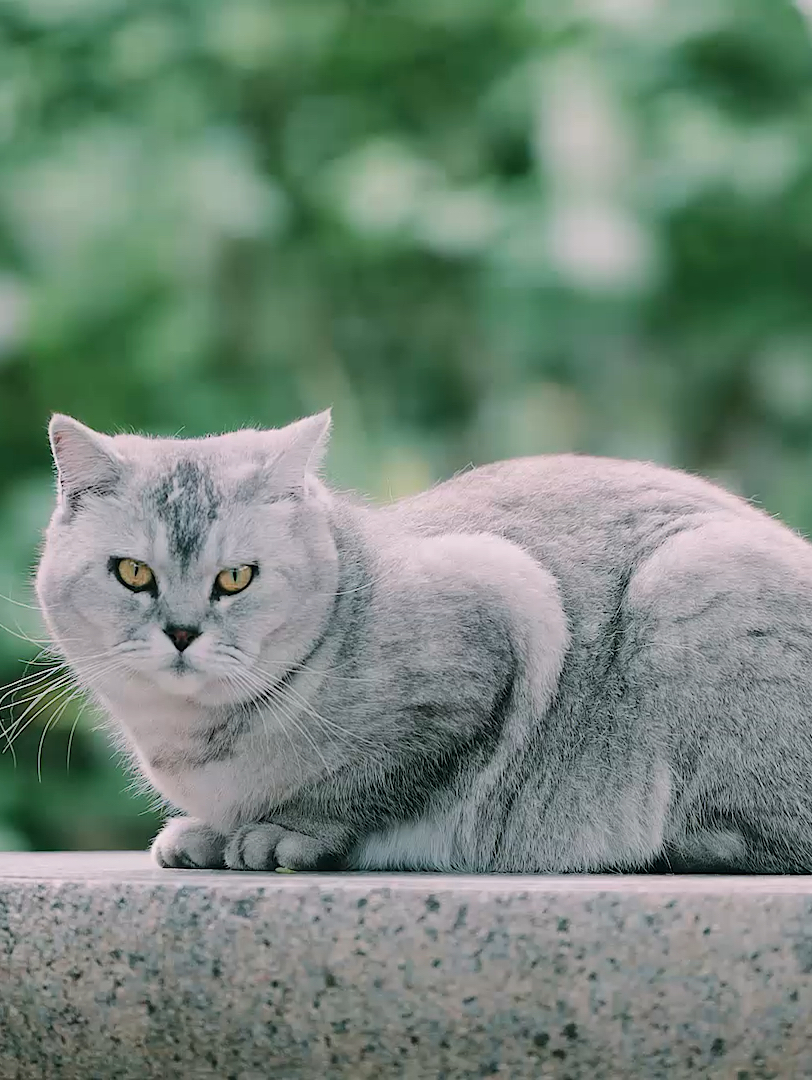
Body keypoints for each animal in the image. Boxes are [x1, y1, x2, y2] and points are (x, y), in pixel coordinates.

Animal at [34, 408, 812, 872]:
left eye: (236, 577)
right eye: (134, 573)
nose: (182, 633)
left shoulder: (501, 623)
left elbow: (365, 785)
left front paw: (283, 834)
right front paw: (209, 834)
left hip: (693, 585)